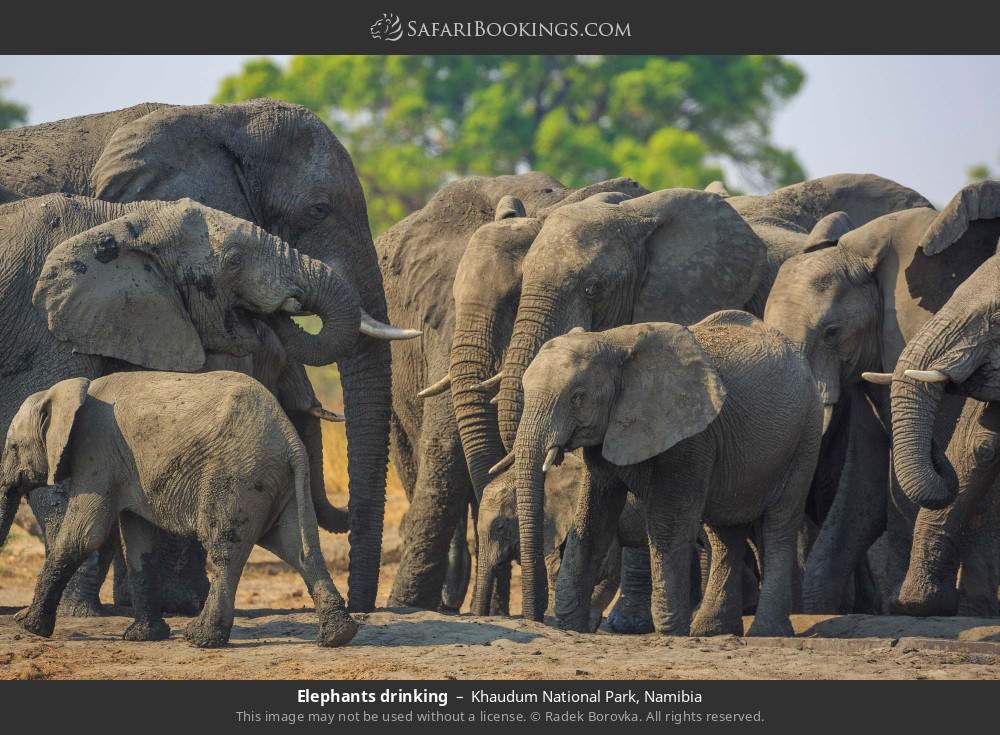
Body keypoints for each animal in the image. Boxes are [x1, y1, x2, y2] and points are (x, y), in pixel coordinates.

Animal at [0, 370, 358, 648]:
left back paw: (200, 638)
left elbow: (85, 536)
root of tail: (290, 438)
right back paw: (338, 636)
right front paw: (144, 636)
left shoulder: (97, 455)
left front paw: (29, 625)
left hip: (237, 476)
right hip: (278, 479)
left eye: (13, 447)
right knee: (298, 549)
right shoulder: (127, 468)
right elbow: (138, 543)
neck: (69, 391)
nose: (16, 615)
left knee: (225, 549)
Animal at [512, 312, 824, 640]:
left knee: (779, 524)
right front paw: (571, 625)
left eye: (578, 397)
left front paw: (671, 631)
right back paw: (711, 631)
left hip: (805, 436)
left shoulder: (691, 433)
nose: (535, 618)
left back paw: (765, 631)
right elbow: (593, 519)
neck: (612, 341)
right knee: (724, 533)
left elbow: (668, 523)